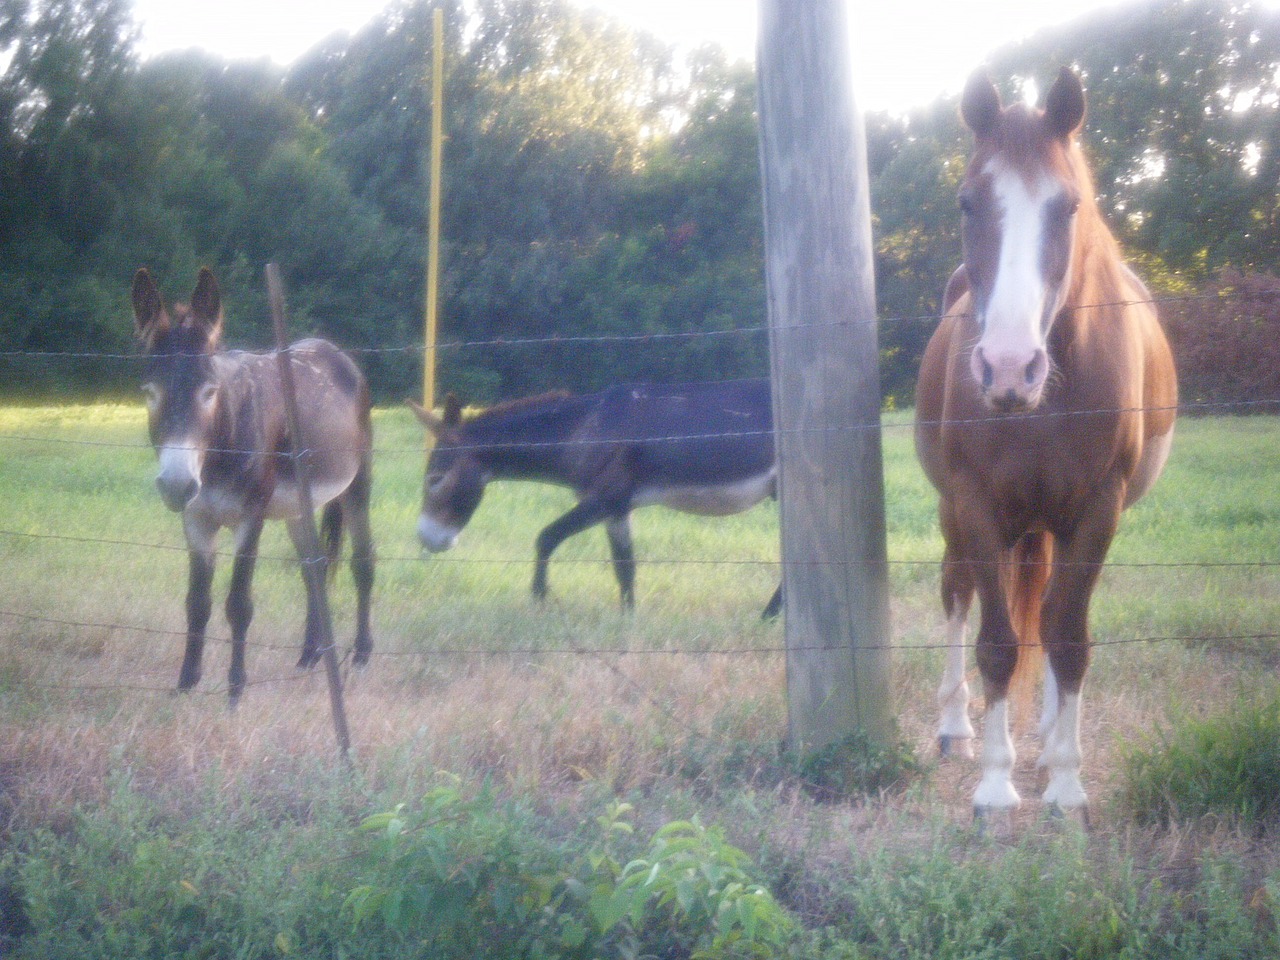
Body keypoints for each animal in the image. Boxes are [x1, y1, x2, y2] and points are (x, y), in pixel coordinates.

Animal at [131, 267, 375, 704]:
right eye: (150, 393)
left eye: (209, 392)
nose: (176, 485)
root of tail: (333, 350)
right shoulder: (196, 518)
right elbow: (197, 602)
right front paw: (186, 684)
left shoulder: (252, 517)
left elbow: (239, 604)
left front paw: (235, 691)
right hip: (299, 504)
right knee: (314, 568)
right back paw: (309, 657)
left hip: (357, 483)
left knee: (362, 562)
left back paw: (361, 657)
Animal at [407, 379, 782, 618]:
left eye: (434, 479)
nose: (426, 540)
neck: (583, 429)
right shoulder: (618, 509)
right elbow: (625, 566)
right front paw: (628, 620)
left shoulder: (604, 498)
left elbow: (545, 537)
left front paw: (538, 600)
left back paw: (767, 616)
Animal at [914, 67, 1177, 819]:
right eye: (968, 202)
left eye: (1069, 205)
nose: (1008, 368)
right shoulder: (975, 506)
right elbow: (999, 644)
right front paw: (995, 787)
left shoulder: (1096, 511)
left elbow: (1069, 638)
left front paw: (1064, 780)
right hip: (959, 518)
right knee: (957, 593)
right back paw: (958, 728)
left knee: (1057, 614)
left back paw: (1050, 735)